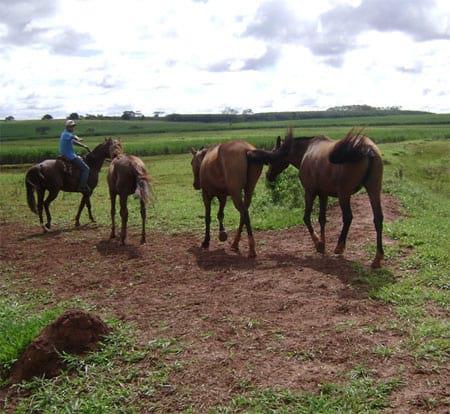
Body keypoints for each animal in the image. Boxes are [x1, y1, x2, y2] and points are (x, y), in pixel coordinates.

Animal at [250, 128, 384, 266]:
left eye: (273, 153)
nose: (268, 175)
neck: (307, 150)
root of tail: (367, 149)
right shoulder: (323, 193)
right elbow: (322, 219)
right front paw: (323, 244)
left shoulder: (310, 192)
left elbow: (307, 218)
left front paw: (318, 244)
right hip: (373, 190)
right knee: (378, 218)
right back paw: (377, 257)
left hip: (344, 194)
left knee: (348, 217)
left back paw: (339, 247)